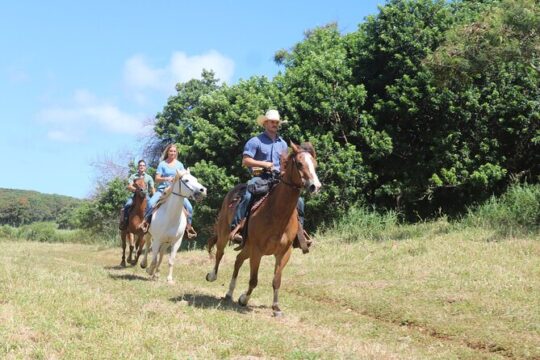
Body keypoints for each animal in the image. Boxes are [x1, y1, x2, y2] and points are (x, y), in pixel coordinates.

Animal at [205, 142, 318, 316]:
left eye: (315, 164)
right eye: (299, 163)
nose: (315, 186)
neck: (277, 214)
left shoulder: (284, 252)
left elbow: (276, 280)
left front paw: (276, 308)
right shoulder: (257, 251)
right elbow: (253, 280)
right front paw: (244, 299)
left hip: (247, 247)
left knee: (238, 260)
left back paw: (230, 293)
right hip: (226, 235)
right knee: (220, 254)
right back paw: (212, 276)